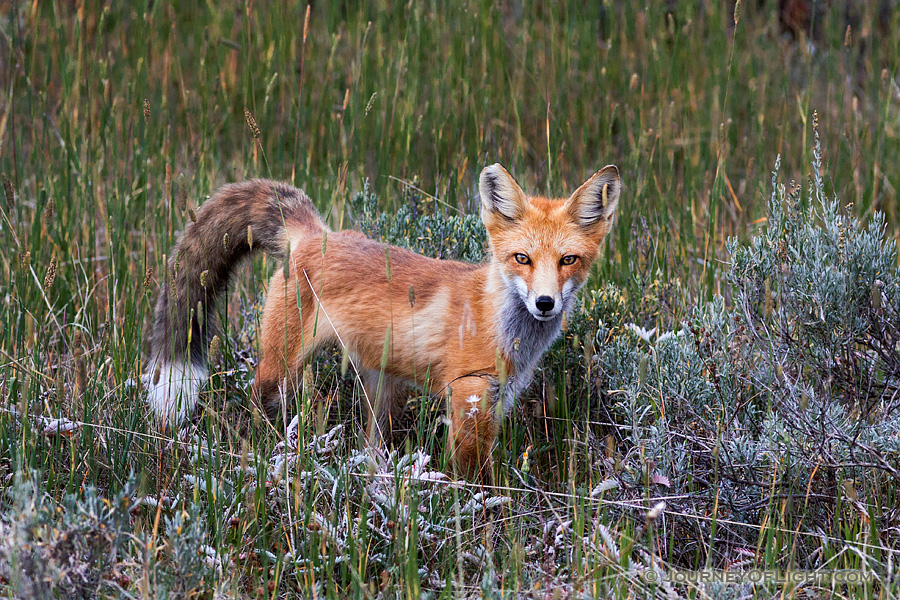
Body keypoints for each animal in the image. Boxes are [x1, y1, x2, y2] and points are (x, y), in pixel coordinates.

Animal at [148, 164, 620, 482]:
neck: (501, 327)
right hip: (281, 369)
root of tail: (316, 233)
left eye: (568, 260)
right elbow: (474, 479)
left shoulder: (496, 400)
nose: (545, 303)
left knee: (370, 444)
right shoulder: (466, 396)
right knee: (260, 403)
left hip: (382, 395)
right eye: (522, 258)